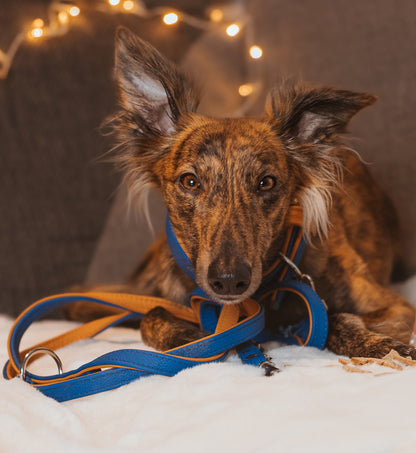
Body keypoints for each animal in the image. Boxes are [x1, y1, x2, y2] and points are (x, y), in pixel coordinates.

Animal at [66, 28, 414, 358]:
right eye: (190, 181)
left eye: (267, 182)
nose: (229, 280)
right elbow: (151, 315)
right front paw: (188, 337)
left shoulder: (395, 306)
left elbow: (334, 318)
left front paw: (380, 345)